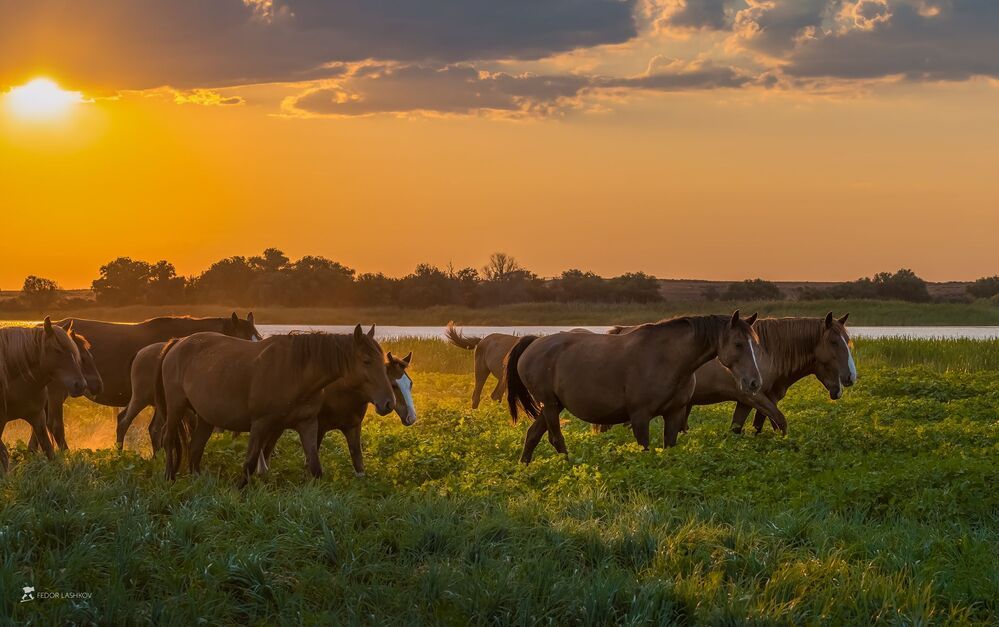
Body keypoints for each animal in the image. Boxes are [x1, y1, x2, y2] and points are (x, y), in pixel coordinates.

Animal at [0, 318, 90, 471]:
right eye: (57, 350)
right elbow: (4, 455)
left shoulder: (37, 416)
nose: (81, 385)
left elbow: (49, 450)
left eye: (74, 352)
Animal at [157, 326, 395, 486]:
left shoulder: (307, 424)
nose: (389, 402)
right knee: (168, 439)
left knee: (195, 447)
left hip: (206, 418)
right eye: (366, 361)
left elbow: (315, 466)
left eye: (384, 362)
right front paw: (238, 493)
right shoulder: (260, 424)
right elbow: (249, 464)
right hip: (176, 407)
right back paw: (169, 477)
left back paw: (197, 481)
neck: (296, 371)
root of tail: (177, 343)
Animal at [249, 351, 417, 477]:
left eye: (410, 383)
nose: (411, 417)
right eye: (393, 385)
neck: (344, 392)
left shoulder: (353, 427)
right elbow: (310, 460)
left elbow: (358, 461)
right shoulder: (318, 428)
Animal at [505, 312, 762, 463]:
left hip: (554, 405)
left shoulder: (674, 414)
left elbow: (669, 446)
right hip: (549, 404)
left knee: (533, 435)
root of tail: (534, 342)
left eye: (755, 343)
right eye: (738, 344)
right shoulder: (639, 417)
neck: (667, 359)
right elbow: (644, 448)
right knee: (555, 439)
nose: (754, 382)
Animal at [606, 313, 856, 434]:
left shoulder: (757, 399)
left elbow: (753, 427)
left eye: (847, 340)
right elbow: (779, 422)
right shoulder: (751, 396)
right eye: (834, 342)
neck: (765, 352)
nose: (851, 377)